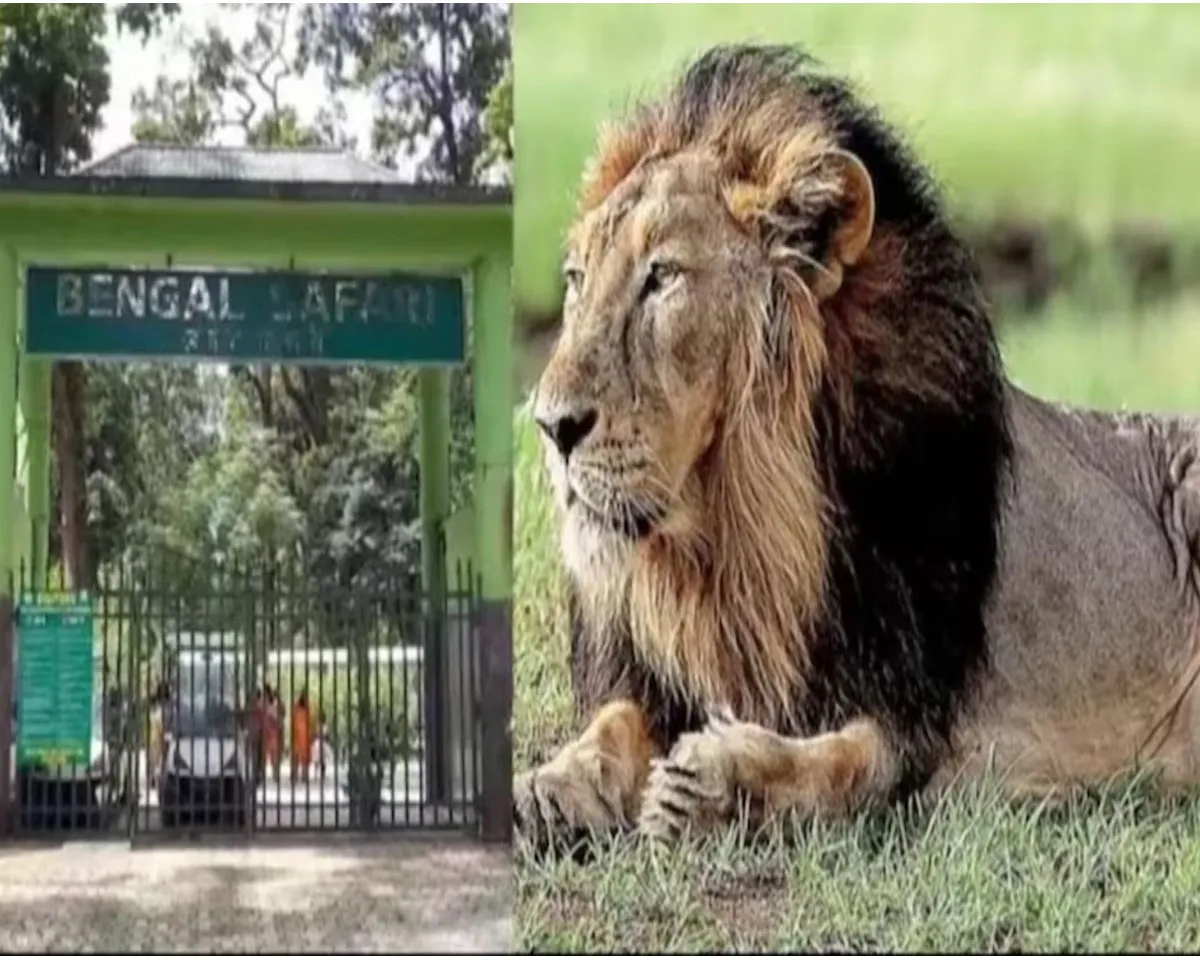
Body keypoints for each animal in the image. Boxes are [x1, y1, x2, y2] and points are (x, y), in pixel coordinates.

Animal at [514, 43, 1200, 851]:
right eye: (576, 278)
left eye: (663, 277)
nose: (550, 425)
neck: (734, 548)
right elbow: (615, 721)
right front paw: (548, 788)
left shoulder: (925, 720)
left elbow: (848, 763)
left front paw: (712, 787)